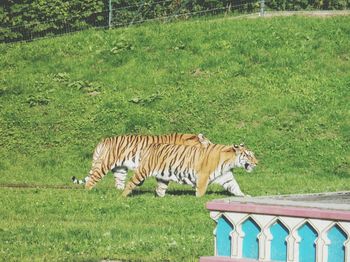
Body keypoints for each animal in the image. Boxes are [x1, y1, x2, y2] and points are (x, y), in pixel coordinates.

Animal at [72, 134, 211, 189]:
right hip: (104, 164)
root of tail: (103, 141)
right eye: (209, 144)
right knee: (91, 179)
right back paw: (89, 192)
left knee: (119, 181)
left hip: (120, 168)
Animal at [121, 143, 258, 196]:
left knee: (160, 190)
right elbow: (201, 191)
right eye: (248, 155)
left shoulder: (226, 177)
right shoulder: (203, 176)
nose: (257, 163)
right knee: (130, 183)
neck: (229, 162)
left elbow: (235, 187)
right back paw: (122, 197)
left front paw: (245, 196)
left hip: (163, 177)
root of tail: (150, 146)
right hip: (143, 170)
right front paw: (199, 200)